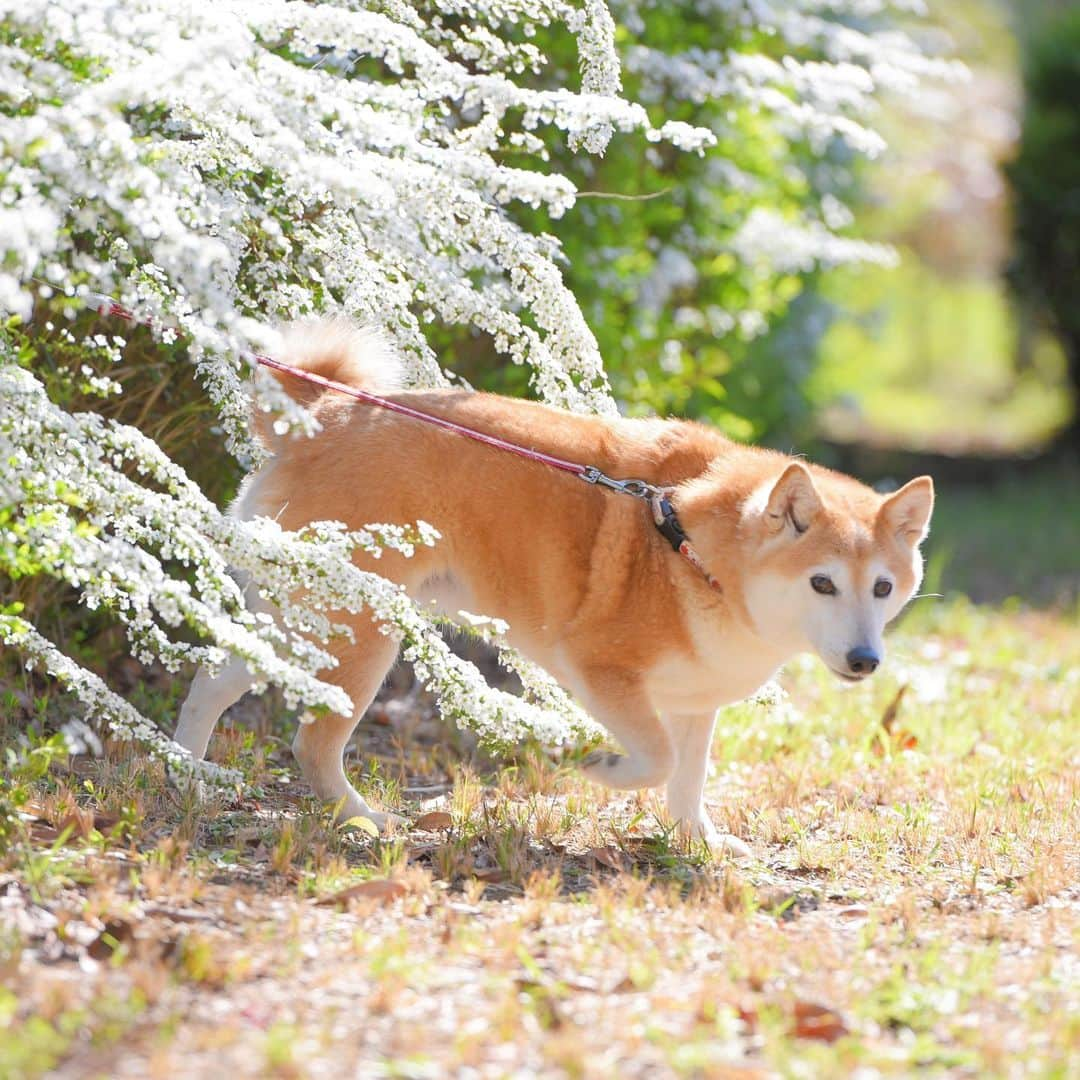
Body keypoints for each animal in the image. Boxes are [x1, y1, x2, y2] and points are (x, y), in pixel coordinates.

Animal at [172, 319, 933, 851]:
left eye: (883, 589)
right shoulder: (601, 671)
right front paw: (601, 768)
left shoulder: (696, 698)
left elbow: (688, 780)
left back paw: (185, 773)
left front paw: (700, 843)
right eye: (823, 584)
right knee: (313, 745)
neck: (698, 555)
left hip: (301, 624)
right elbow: (656, 759)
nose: (866, 661)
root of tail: (316, 421)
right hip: (360, 637)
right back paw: (361, 819)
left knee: (208, 685)